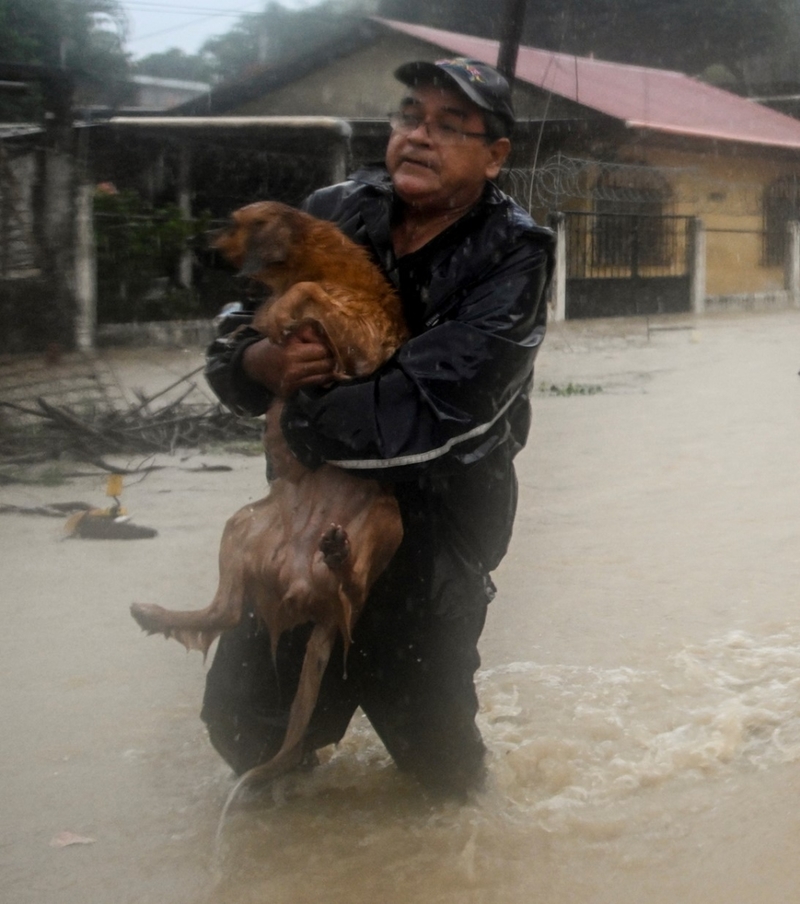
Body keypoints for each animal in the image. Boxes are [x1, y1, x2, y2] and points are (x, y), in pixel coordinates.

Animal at [130, 203, 410, 792]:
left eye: (230, 224)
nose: (190, 242)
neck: (322, 260)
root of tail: (302, 583)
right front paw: (259, 324)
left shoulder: (363, 342)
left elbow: (304, 295)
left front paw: (273, 316)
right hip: (240, 524)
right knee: (225, 611)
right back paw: (155, 614)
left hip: (387, 519)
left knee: (354, 590)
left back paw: (340, 555)